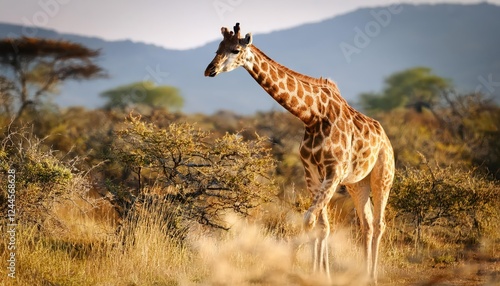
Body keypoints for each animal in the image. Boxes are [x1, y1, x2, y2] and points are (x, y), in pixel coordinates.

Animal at [203, 22, 394, 284]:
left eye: (235, 50)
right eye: (217, 48)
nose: (209, 70)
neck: (312, 115)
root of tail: (385, 138)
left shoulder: (334, 172)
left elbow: (310, 220)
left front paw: (316, 274)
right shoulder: (312, 172)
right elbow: (322, 226)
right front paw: (321, 275)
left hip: (382, 176)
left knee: (379, 223)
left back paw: (373, 277)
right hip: (357, 182)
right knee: (366, 223)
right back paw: (364, 276)